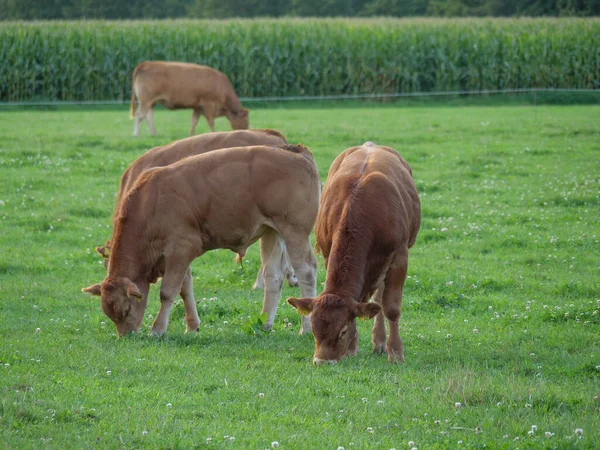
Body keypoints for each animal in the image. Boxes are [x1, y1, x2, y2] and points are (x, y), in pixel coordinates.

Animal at [83, 144, 324, 338]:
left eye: (125, 310)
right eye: (109, 314)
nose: (126, 336)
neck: (150, 204)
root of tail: (295, 151)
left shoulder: (181, 249)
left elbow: (168, 291)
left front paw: (158, 330)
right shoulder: (176, 256)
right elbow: (185, 289)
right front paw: (192, 326)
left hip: (294, 232)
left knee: (306, 271)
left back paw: (306, 328)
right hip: (272, 232)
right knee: (273, 276)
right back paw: (265, 324)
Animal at [288, 142, 420, 364]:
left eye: (341, 331)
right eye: (313, 330)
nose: (322, 361)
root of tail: (370, 145)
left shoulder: (399, 257)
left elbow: (391, 308)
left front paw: (396, 353)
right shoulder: (327, 252)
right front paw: (351, 348)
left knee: (380, 299)